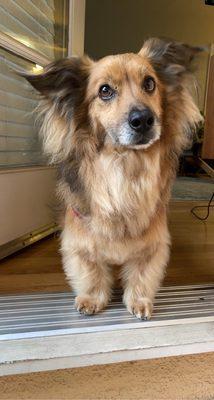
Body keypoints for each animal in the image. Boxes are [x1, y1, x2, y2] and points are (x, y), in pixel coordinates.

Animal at [25, 37, 202, 318]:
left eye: (149, 83)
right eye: (105, 90)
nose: (143, 119)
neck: (124, 167)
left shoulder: (153, 246)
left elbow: (142, 275)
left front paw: (139, 301)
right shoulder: (80, 243)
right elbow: (91, 272)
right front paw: (91, 299)